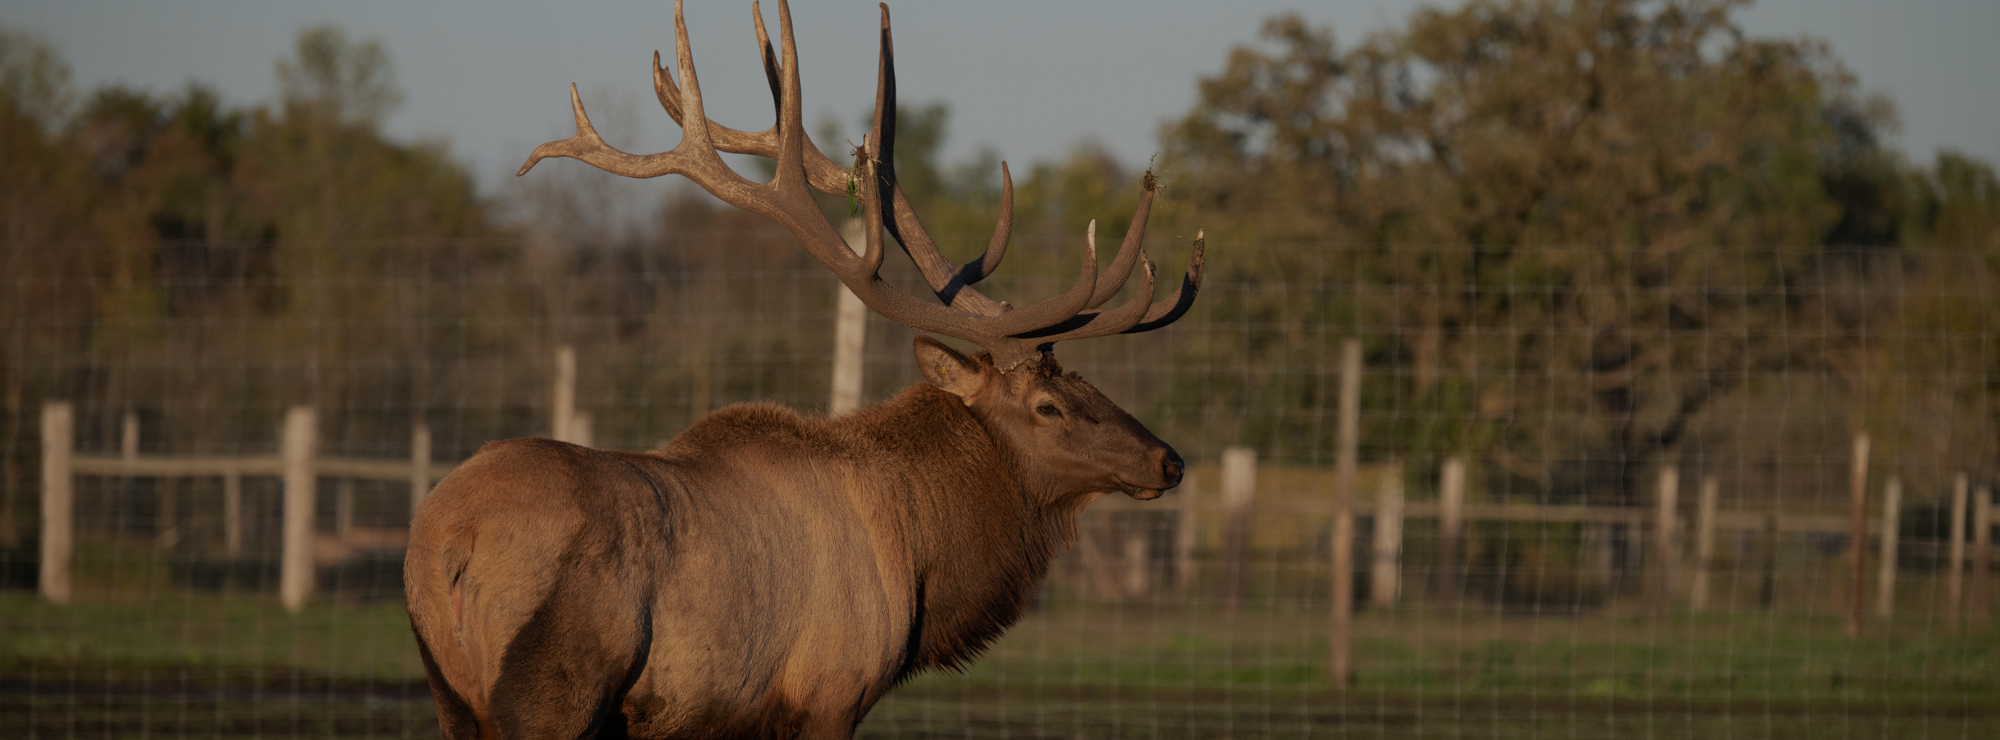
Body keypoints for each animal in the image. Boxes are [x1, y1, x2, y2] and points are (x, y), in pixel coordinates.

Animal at [398, 2, 1192, 736]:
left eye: (1085, 383)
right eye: (1047, 405)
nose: (1169, 459)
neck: (922, 556)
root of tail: (449, 542)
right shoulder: (831, 691)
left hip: (451, 697)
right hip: (553, 693)